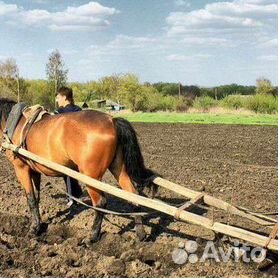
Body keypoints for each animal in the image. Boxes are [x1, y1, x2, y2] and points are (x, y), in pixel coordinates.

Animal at [0, 99, 156, 242]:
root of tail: (112, 120)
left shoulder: (21, 169)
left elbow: (31, 199)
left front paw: (33, 229)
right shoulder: (34, 171)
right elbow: (36, 198)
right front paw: (38, 225)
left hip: (90, 176)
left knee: (100, 203)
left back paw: (92, 237)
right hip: (119, 169)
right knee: (133, 196)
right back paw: (141, 235)